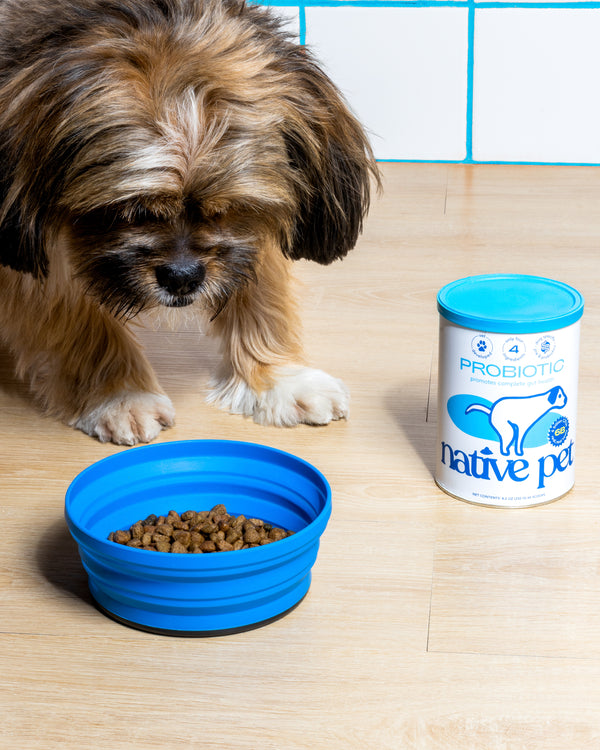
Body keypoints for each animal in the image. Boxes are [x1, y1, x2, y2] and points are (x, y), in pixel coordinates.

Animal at [0, 0, 378, 446]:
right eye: (130, 211)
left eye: (230, 208)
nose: (182, 278)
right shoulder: (33, 243)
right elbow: (76, 317)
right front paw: (119, 394)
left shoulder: (252, 229)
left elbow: (262, 293)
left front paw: (279, 378)